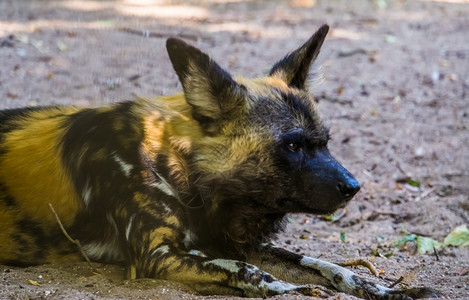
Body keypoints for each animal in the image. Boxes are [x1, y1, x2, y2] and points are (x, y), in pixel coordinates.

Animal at [0, 25, 436, 298]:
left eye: (325, 143)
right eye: (293, 145)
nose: (353, 187)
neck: (183, 167)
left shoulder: (235, 242)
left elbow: (328, 266)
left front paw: (385, 289)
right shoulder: (157, 256)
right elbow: (247, 272)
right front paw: (290, 290)